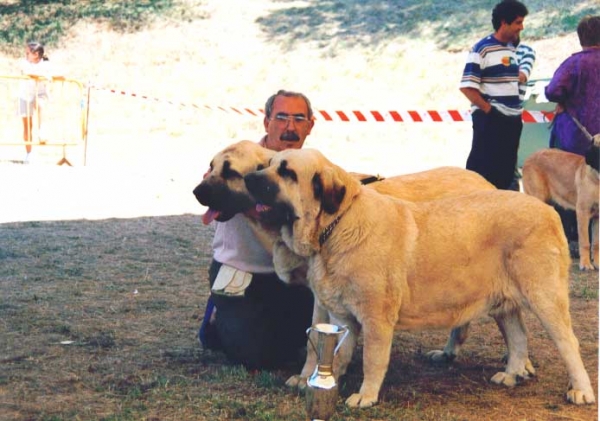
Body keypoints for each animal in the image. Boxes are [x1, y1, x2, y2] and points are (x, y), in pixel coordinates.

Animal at [244, 148, 596, 406]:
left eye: (287, 172)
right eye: (268, 164)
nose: (249, 177)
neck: (338, 225)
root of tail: (547, 211)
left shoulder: (376, 317)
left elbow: (373, 358)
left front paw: (365, 396)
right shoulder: (340, 314)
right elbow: (337, 353)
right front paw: (323, 381)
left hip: (544, 297)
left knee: (567, 342)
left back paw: (581, 391)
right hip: (502, 301)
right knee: (518, 335)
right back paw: (511, 373)